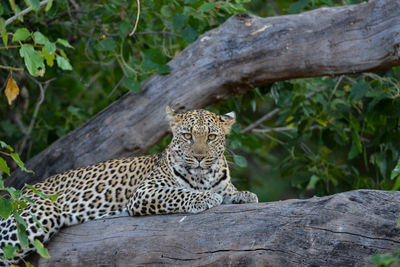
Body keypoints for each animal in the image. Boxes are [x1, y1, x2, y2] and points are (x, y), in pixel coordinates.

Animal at [0, 107, 258, 266]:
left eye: (211, 137)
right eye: (187, 136)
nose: (199, 157)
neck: (204, 177)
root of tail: (18, 194)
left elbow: (230, 192)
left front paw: (245, 195)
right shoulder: (145, 192)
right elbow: (180, 192)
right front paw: (204, 198)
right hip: (35, 216)